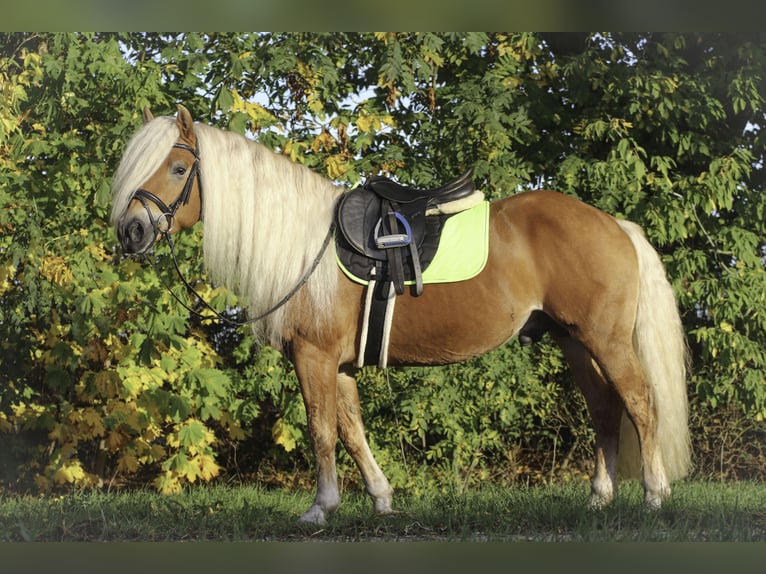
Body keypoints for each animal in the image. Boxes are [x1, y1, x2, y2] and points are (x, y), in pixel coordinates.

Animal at [111, 104, 691, 525]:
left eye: (179, 168)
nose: (131, 231)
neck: (304, 247)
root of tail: (615, 224)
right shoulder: (339, 364)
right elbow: (351, 429)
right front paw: (382, 499)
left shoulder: (313, 357)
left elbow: (322, 431)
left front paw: (320, 509)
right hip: (574, 340)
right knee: (604, 409)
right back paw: (600, 498)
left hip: (605, 339)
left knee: (640, 403)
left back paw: (654, 495)